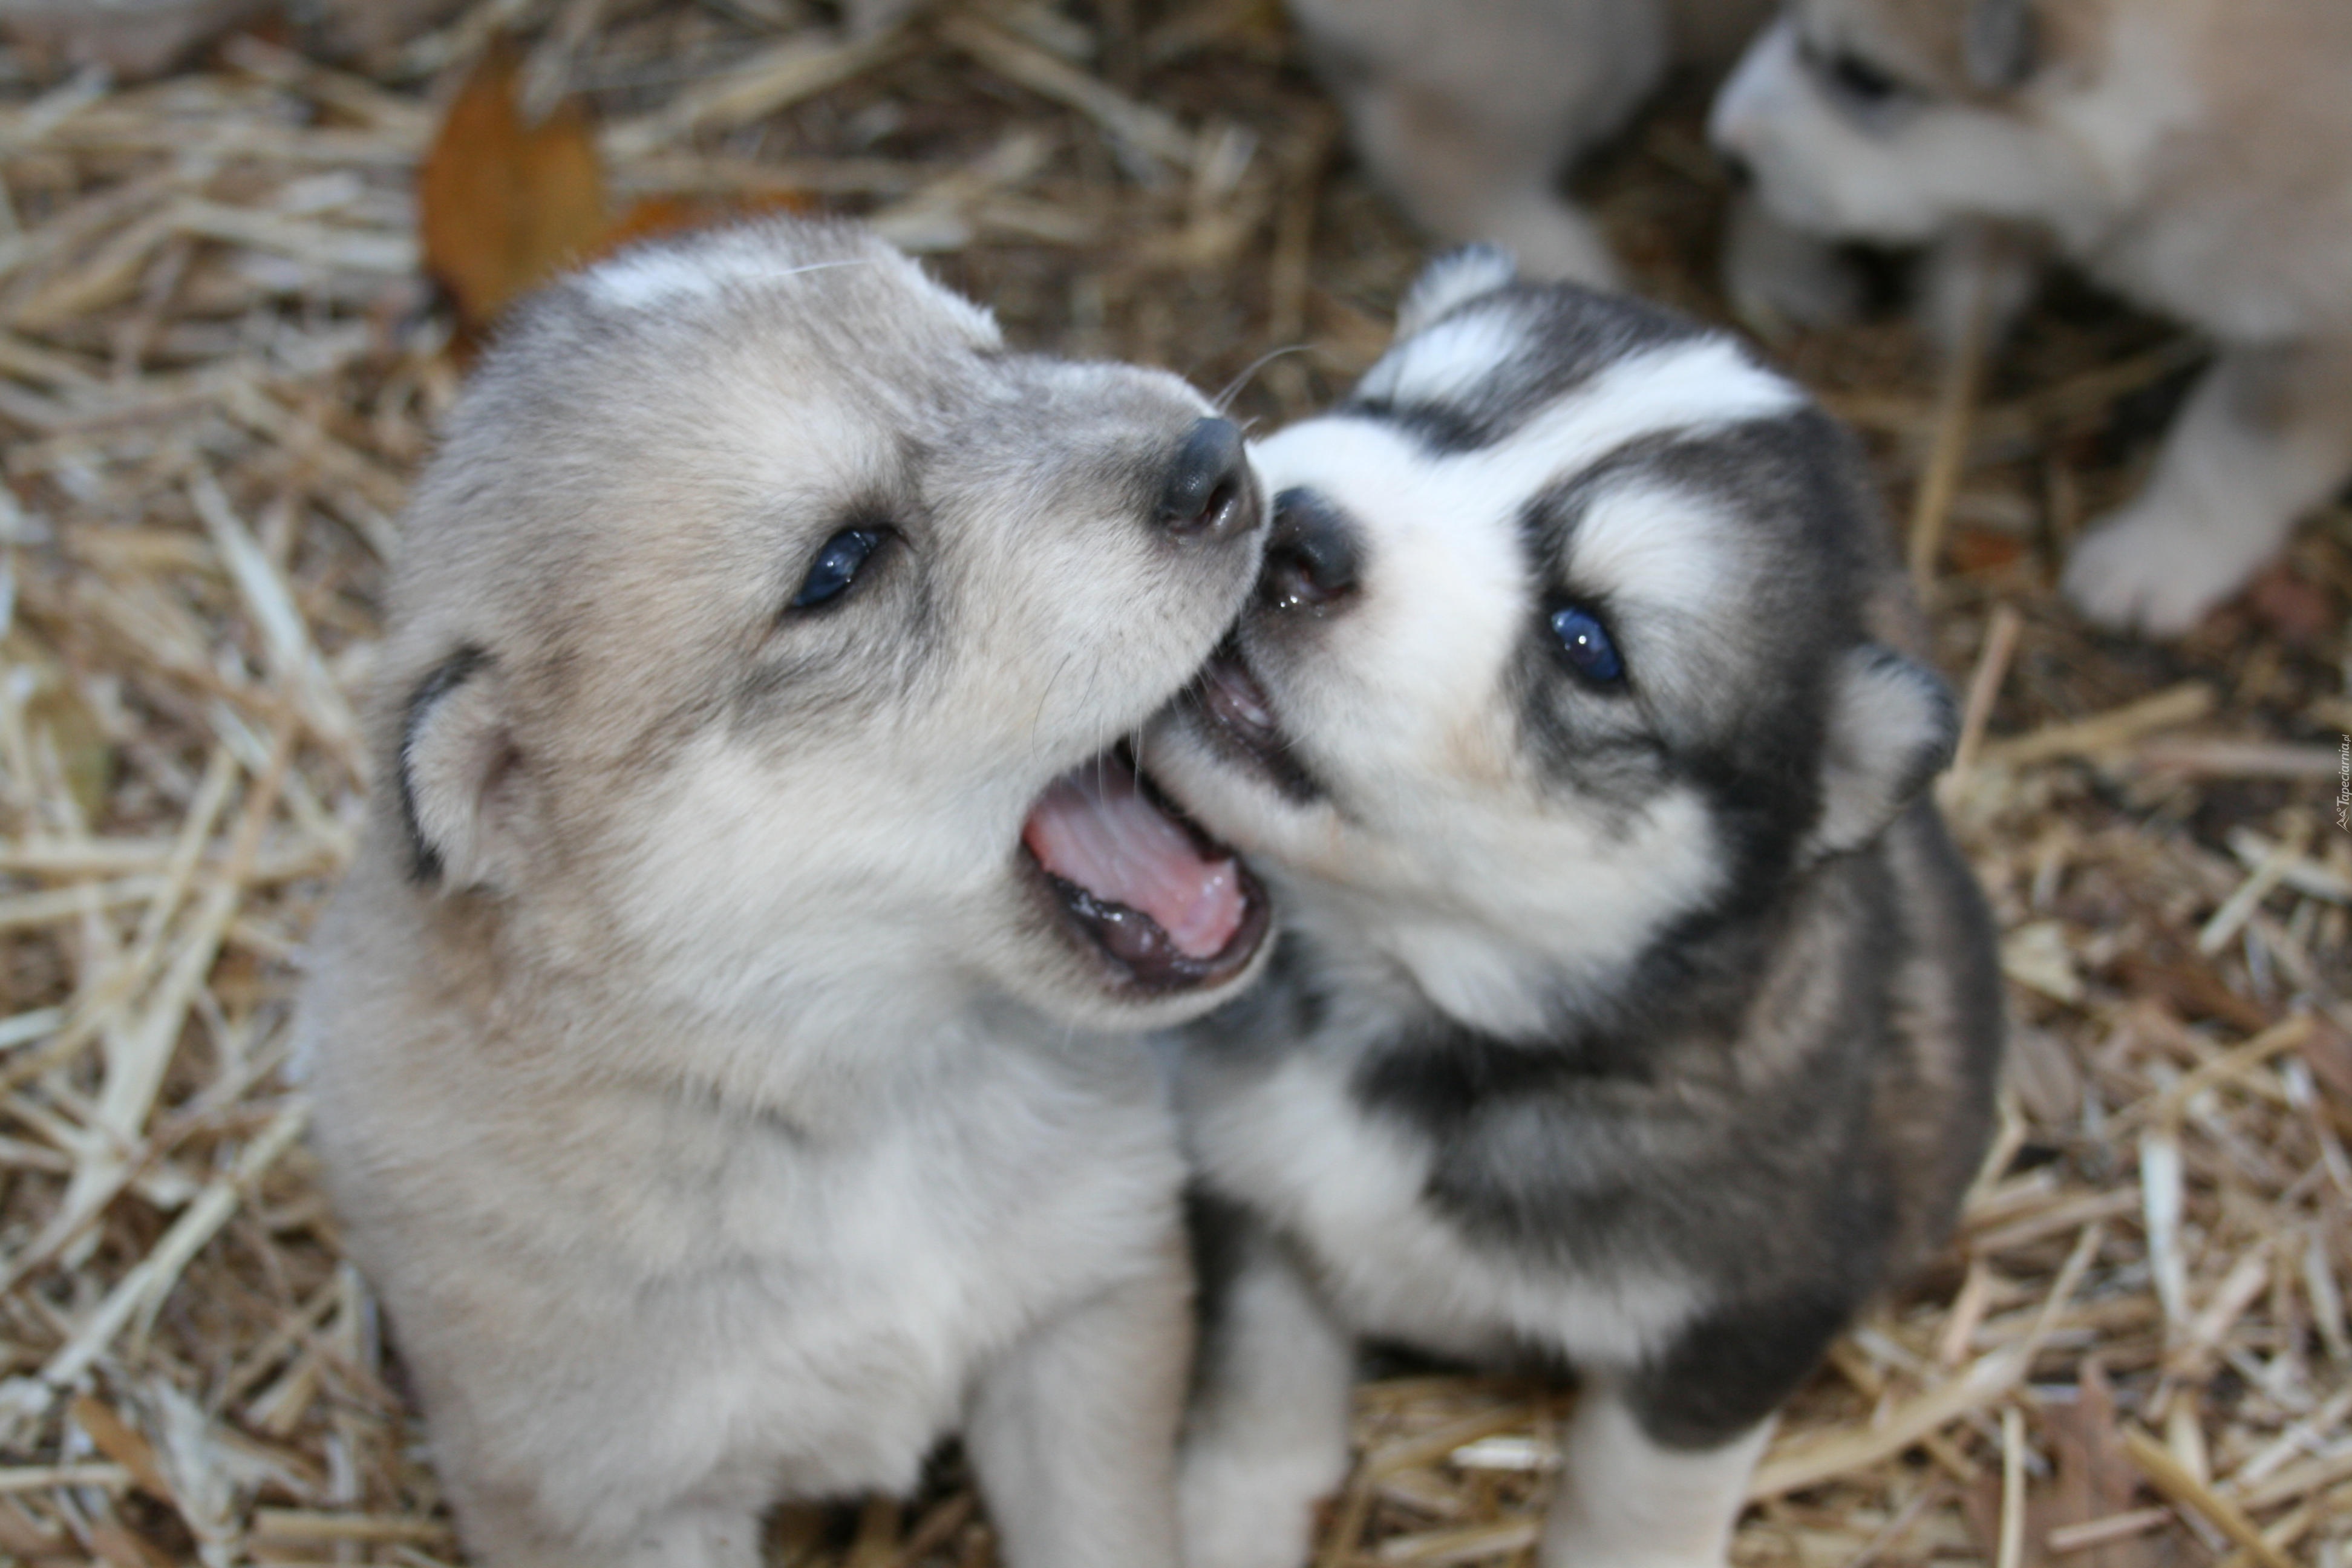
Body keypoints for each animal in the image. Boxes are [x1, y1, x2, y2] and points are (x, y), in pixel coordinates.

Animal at [305, 217, 1289, 1568]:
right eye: (840, 564)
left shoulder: (1092, 1312)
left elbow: (1106, 1533)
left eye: (990, 352)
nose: (1217, 459)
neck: (870, 1101)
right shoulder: (619, 1504)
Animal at [1138, 251, 2004, 1568]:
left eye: (1585, 640)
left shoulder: (1731, 1330)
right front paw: (1228, 1516)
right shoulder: (1255, 1199)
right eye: (1395, 410)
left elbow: (1634, 1497)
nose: (1296, 532)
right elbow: (1261, 1383)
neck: (1406, 999)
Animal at [1712, 1, 2352, 639]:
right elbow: (1985, 247)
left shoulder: (2310, 337)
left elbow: (2226, 457)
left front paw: (2154, 557)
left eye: (1867, 76)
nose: (1725, 145)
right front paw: (1949, 326)